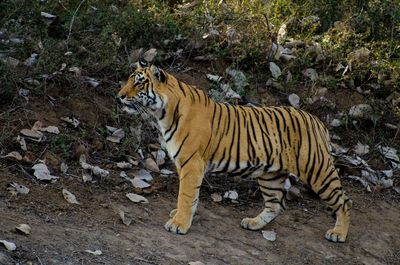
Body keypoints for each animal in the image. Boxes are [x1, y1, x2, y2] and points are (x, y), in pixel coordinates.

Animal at [117, 61, 352, 241]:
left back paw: (338, 233)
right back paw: (253, 223)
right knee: (275, 204)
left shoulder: (191, 163)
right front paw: (181, 216)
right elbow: (192, 196)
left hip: (317, 170)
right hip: (271, 175)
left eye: (139, 82)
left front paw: (178, 224)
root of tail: (317, 121)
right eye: (129, 80)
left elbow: (186, 194)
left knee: (343, 201)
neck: (163, 113)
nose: (119, 96)